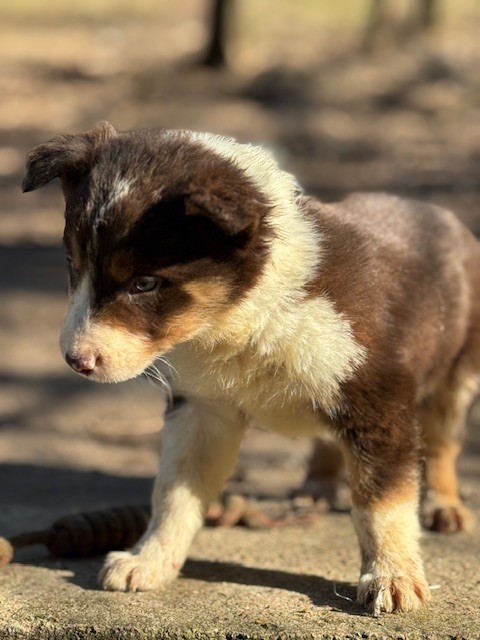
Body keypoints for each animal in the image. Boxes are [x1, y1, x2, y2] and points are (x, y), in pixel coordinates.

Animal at [24, 121, 478, 616]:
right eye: (73, 265)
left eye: (144, 284)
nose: (75, 361)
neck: (250, 314)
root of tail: (443, 216)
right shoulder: (202, 409)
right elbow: (174, 493)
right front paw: (149, 561)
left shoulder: (378, 403)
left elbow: (383, 503)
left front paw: (393, 578)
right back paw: (316, 487)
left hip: (459, 373)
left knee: (442, 444)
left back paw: (445, 508)